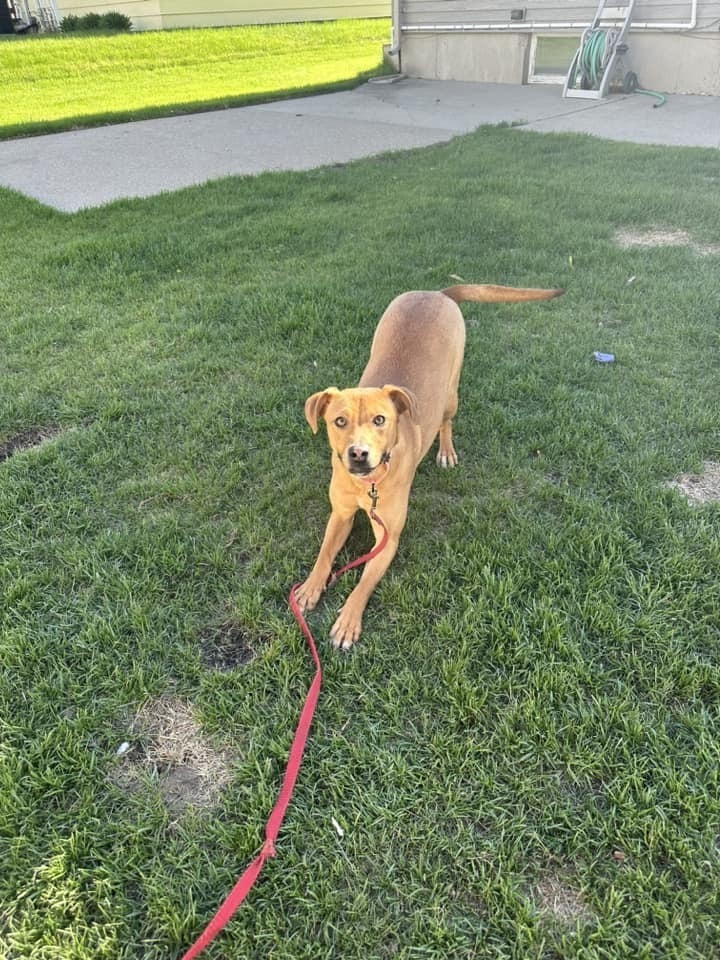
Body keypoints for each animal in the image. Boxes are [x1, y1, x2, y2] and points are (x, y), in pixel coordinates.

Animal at [296, 282, 564, 648]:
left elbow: (364, 582)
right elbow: (324, 553)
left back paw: (446, 451)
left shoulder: (388, 538)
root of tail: (437, 292)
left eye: (380, 420)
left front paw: (349, 619)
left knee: (446, 422)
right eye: (339, 421)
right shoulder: (340, 514)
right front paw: (311, 586)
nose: (358, 454)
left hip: (451, 392)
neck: (370, 484)